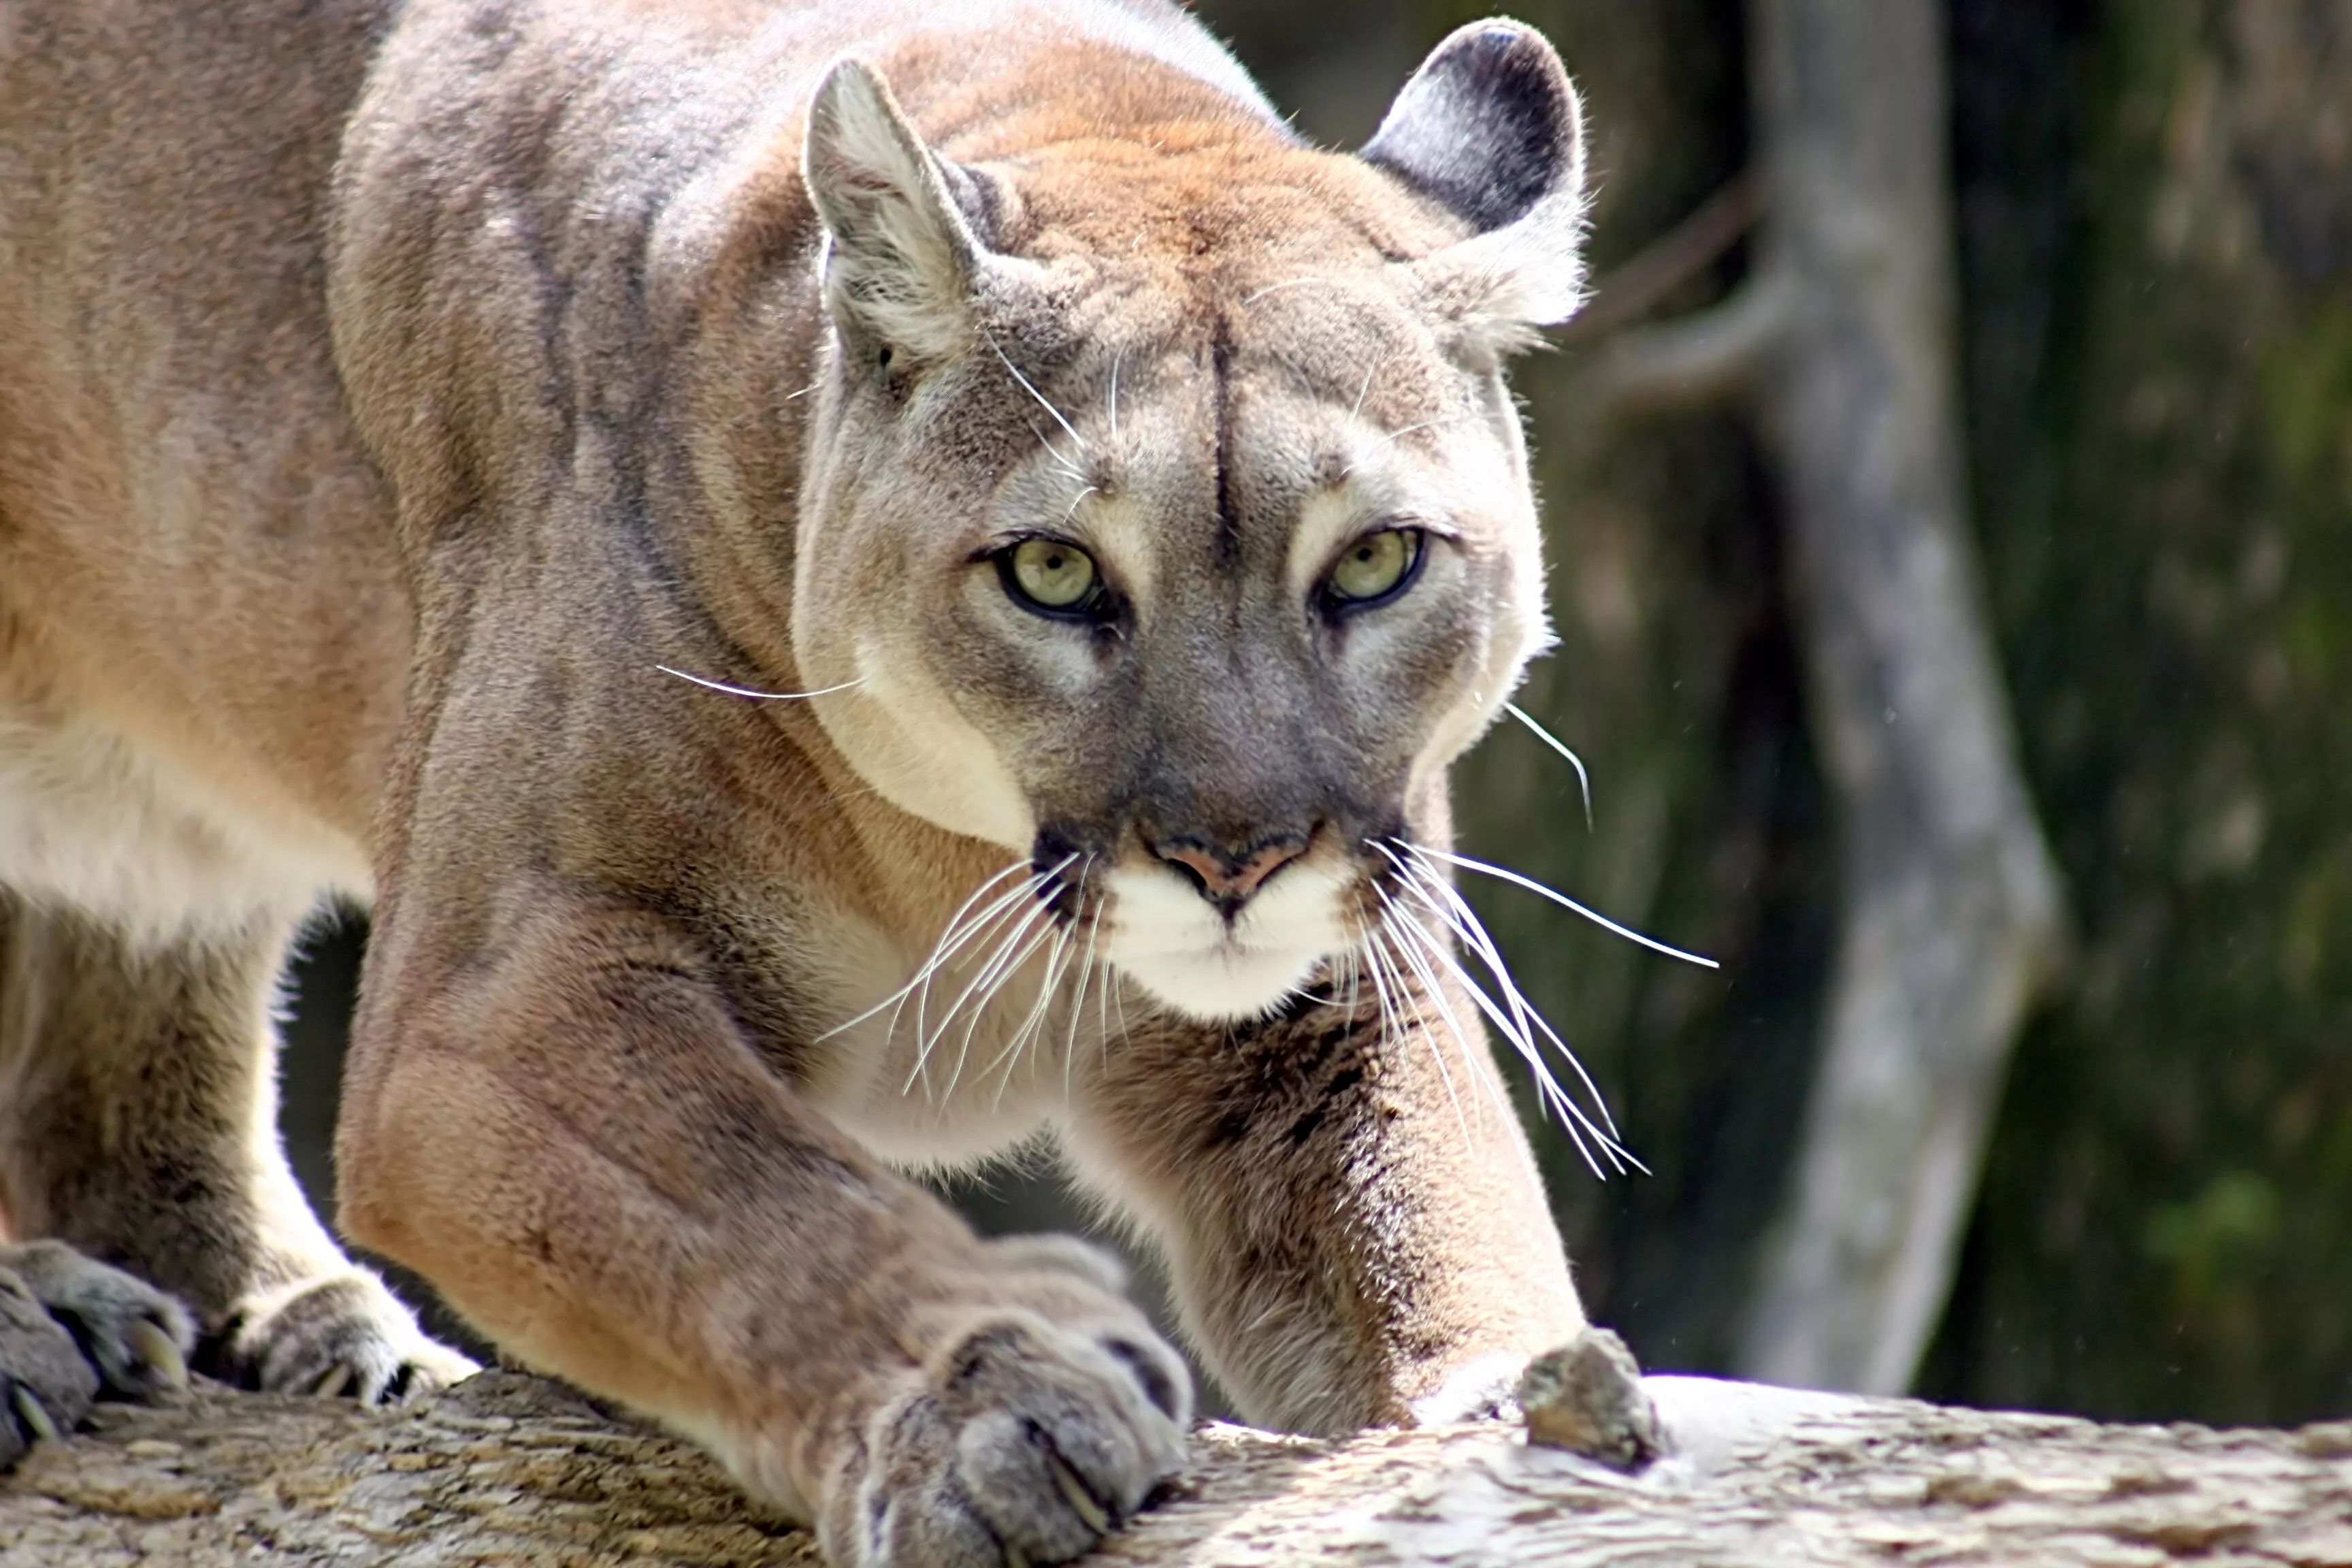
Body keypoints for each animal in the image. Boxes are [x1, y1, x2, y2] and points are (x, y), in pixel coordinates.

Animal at [0, 0, 1601, 1559]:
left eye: (1376, 560)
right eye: (1054, 571)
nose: (1235, 861)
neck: (949, 850)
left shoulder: (1337, 993)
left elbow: (1437, 1218)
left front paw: (1525, 1413)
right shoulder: (494, 998)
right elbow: (761, 1203)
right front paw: (990, 1400)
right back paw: (50, 1327)